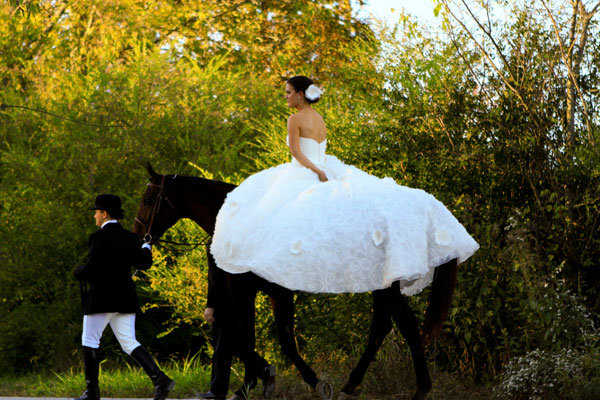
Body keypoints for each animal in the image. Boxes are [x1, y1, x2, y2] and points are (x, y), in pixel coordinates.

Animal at [134, 163, 458, 400]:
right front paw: (252, 384)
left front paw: (298, 380)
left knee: (394, 327)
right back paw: (386, 387)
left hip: (384, 287)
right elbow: (256, 337)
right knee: (394, 327)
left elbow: (266, 339)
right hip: (384, 287)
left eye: (148, 199)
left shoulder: (260, 291)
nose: (138, 239)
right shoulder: (259, 291)